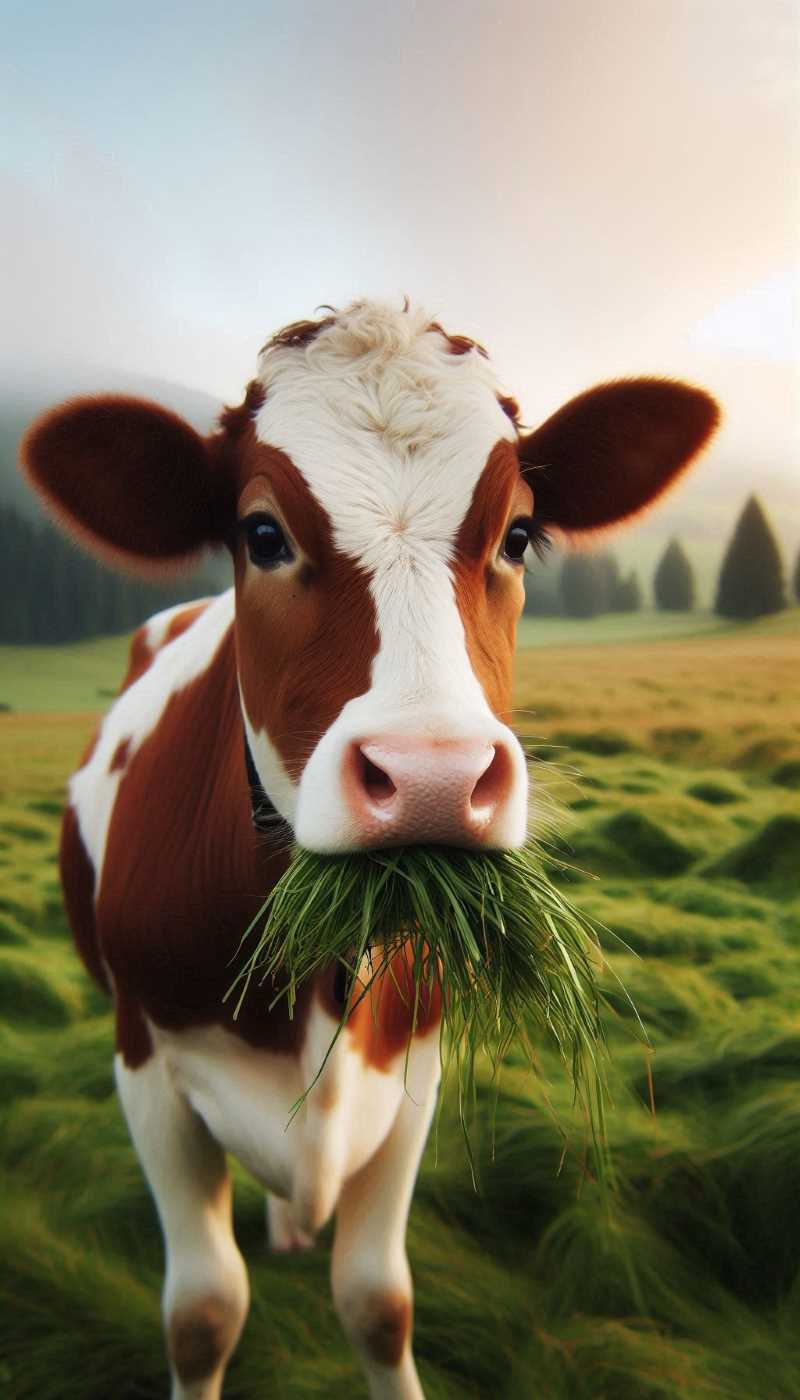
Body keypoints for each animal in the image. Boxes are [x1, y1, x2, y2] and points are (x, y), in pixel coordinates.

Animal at [20, 303, 717, 1400]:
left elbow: (378, 1300)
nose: (432, 775)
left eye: (518, 533)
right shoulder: (146, 1063)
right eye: (261, 534)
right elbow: (202, 1312)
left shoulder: (415, 1060)